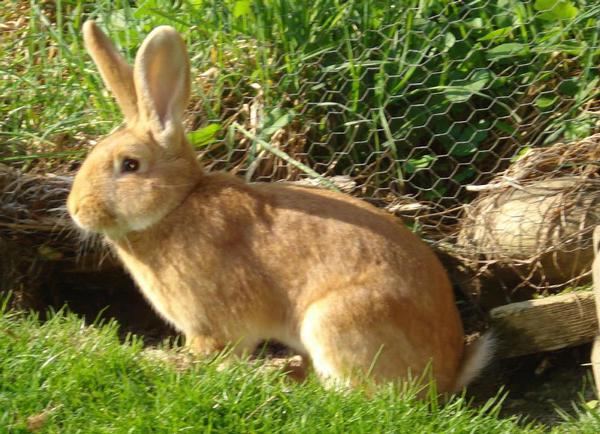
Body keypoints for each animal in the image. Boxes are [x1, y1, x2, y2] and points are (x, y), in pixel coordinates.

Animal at [67, 21, 492, 394]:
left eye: (130, 165)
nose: (75, 209)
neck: (177, 205)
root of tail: (446, 375)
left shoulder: (213, 326)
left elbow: (214, 355)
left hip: (336, 321)